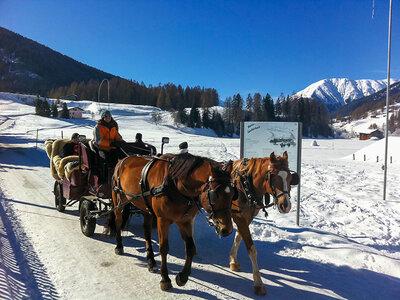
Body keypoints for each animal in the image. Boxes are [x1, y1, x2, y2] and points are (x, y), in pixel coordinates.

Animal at [109, 152, 234, 290]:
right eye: (214, 195)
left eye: (233, 194)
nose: (227, 229)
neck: (175, 185)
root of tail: (122, 160)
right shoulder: (162, 220)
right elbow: (164, 248)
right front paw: (165, 279)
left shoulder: (185, 221)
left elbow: (191, 248)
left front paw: (182, 277)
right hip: (119, 199)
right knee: (118, 222)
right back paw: (119, 246)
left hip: (146, 208)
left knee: (146, 232)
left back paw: (151, 261)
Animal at [223, 151, 298, 296]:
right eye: (273, 177)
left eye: (290, 177)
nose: (286, 206)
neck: (245, 185)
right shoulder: (239, 217)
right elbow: (252, 249)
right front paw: (258, 283)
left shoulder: (247, 217)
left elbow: (239, 237)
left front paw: (233, 260)